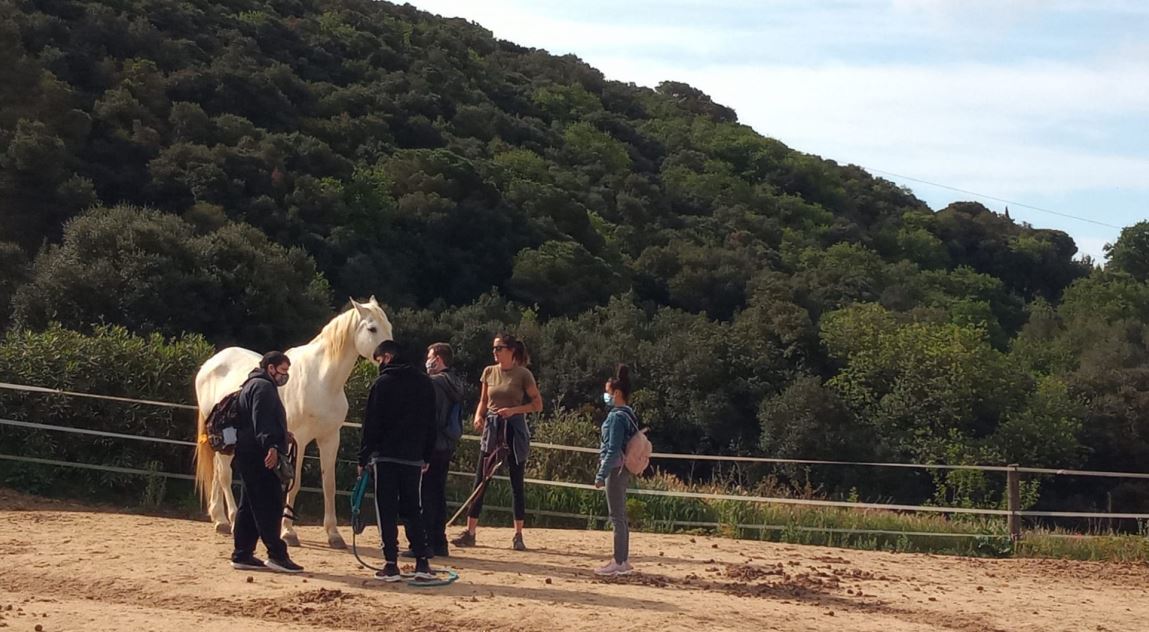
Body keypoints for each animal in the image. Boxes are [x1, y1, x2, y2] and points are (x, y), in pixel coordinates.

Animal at [195, 296, 392, 549]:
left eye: (389, 326)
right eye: (372, 329)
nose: (390, 356)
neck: (321, 380)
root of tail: (210, 364)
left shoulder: (330, 438)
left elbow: (329, 485)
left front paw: (334, 535)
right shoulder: (298, 439)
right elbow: (295, 482)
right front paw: (288, 532)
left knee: (218, 474)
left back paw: (219, 519)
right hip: (226, 441)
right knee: (224, 475)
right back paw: (229, 519)